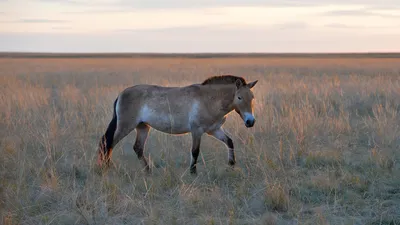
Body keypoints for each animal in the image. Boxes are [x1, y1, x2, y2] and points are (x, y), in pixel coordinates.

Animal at [98, 75, 258, 174]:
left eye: (252, 97)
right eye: (239, 97)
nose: (250, 122)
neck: (208, 100)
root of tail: (121, 94)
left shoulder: (214, 130)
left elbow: (229, 142)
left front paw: (231, 164)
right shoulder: (197, 131)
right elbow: (195, 151)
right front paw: (193, 172)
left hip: (143, 127)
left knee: (137, 148)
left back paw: (148, 171)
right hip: (125, 126)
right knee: (109, 144)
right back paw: (107, 168)